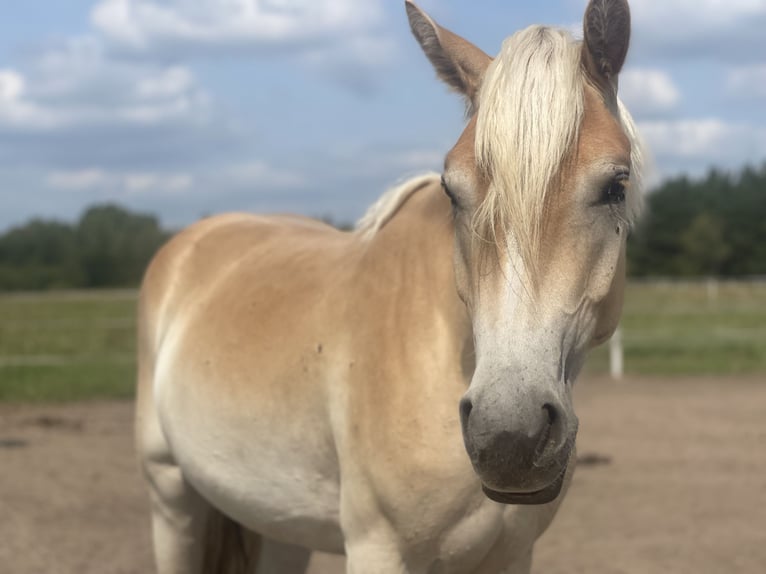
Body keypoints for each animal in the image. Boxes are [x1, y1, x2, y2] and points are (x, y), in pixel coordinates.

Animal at [140, 1, 648, 572]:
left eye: (616, 185)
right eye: (452, 190)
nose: (508, 436)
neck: (436, 357)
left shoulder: (513, 554)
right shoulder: (376, 547)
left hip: (277, 525)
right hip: (171, 497)